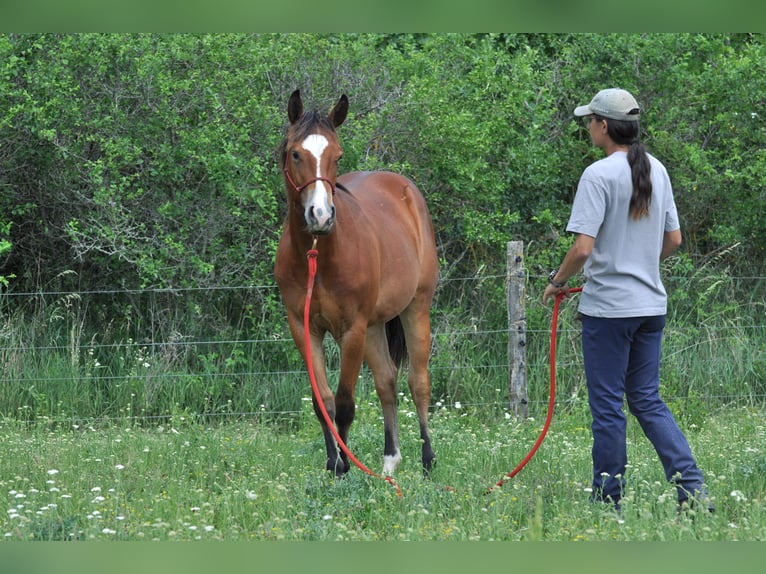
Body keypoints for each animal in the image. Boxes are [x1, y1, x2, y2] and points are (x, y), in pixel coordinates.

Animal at [274, 89, 439, 478]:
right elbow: (323, 402)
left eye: (337, 156)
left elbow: (346, 403)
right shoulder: (303, 328)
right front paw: (333, 464)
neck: (318, 257)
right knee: (387, 382)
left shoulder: (351, 330)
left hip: (415, 308)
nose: (320, 216)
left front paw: (346, 469)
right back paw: (390, 461)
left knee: (418, 383)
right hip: (376, 325)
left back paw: (427, 459)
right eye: (296, 153)